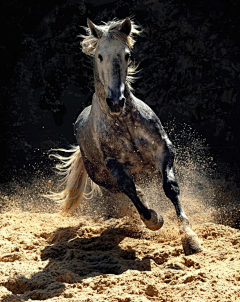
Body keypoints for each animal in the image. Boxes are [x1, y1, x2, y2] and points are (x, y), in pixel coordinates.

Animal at [48, 17, 202, 256]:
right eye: (100, 55)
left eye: (127, 54)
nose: (115, 101)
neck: (123, 122)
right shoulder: (115, 167)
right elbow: (130, 190)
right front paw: (154, 220)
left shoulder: (164, 150)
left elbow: (170, 186)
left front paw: (190, 238)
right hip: (103, 179)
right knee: (129, 192)